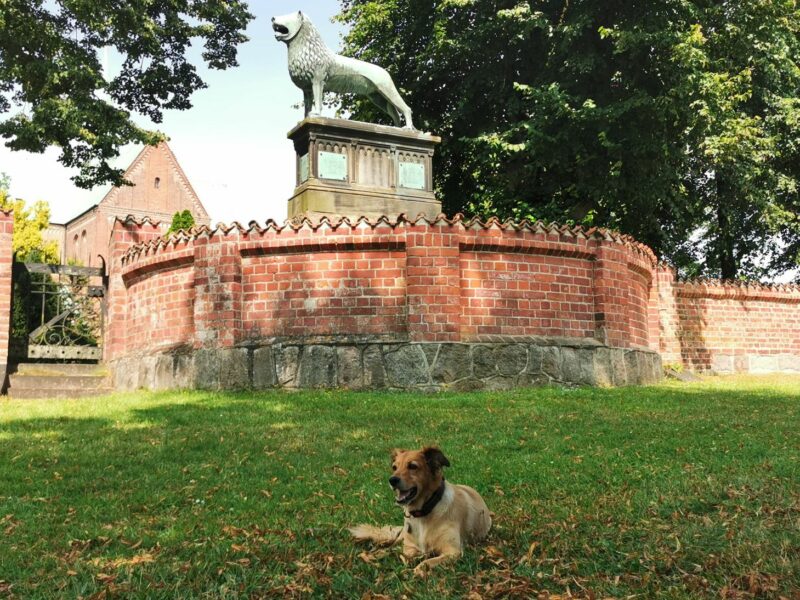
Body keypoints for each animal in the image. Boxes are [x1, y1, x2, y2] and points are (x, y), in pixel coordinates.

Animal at [352, 446, 494, 576]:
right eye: (394, 467)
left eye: (413, 466)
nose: (392, 480)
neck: (424, 512)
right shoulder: (409, 547)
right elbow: (403, 553)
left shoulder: (453, 552)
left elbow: (428, 561)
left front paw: (420, 568)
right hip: (402, 535)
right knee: (392, 546)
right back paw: (376, 553)